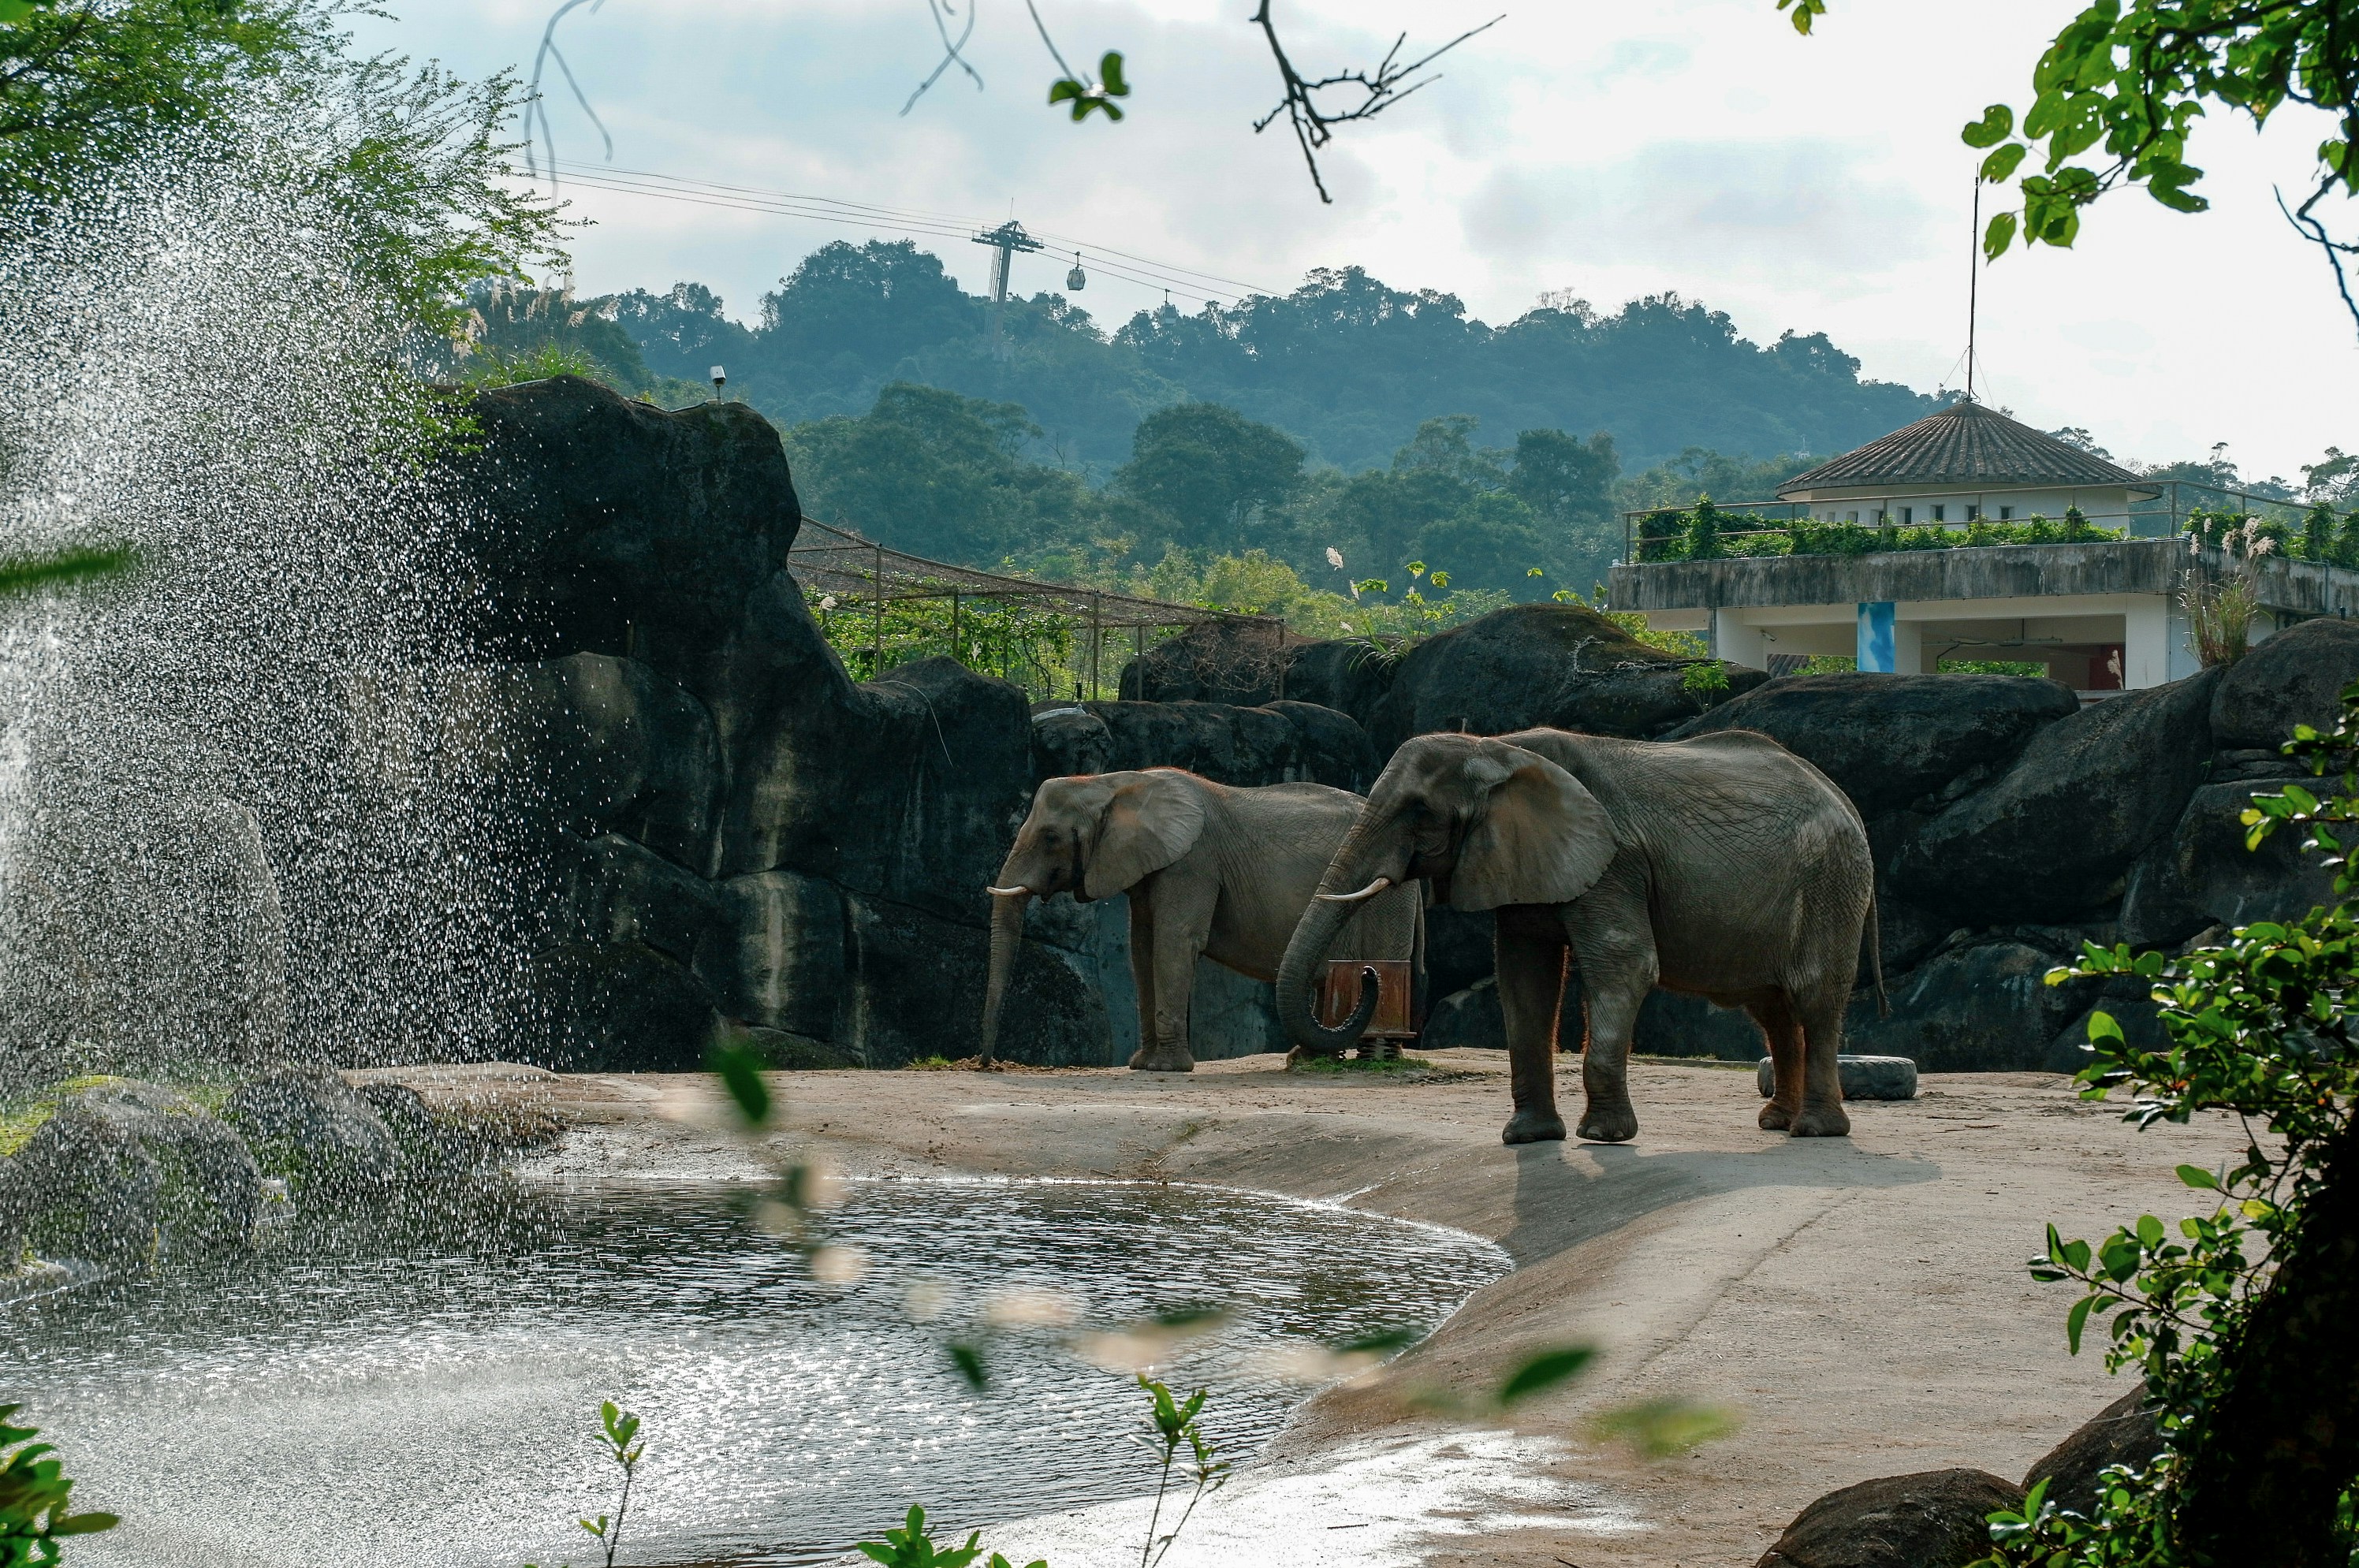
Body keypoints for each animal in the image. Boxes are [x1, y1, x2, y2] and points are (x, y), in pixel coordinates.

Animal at [982, 769, 1422, 1071]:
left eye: (1051, 838)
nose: (986, 1063)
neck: (1113, 783)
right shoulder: (1150, 867)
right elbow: (1142, 948)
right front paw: (1142, 1064)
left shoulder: (1193, 862)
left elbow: (1174, 941)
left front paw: (1166, 1068)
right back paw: (1307, 1059)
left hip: (1388, 898)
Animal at [1277, 727, 1880, 1143]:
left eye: (1419, 810)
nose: (1370, 973)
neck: (1498, 749)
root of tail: (1843, 797)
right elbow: (1524, 979)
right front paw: (1528, 1137)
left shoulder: (1614, 862)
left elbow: (1623, 964)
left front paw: (1603, 1137)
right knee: (1770, 1006)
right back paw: (1776, 1122)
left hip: (1831, 880)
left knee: (1813, 994)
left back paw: (1815, 1130)